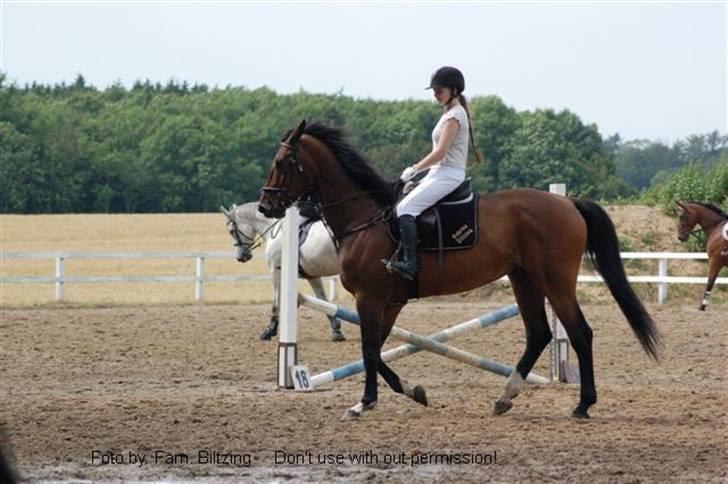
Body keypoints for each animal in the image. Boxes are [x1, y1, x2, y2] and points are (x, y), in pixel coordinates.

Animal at [222, 202, 344, 342]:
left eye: (231, 231)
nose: (241, 257)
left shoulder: (276, 271)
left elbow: (276, 302)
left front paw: (269, 331)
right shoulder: (313, 276)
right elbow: (323, 300)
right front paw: (336, 330)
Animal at [258, 121, 664, 420]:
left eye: (281, 162)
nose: (265, 206)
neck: (364, 220)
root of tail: (567, 202)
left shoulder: (369, 298)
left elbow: (371, 350)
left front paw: (366, 402)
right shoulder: (388, 302)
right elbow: (375, 350)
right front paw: (411, 392)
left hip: (554, 281)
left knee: (579, 332)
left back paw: (582, 405)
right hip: (524, 279)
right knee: (539, 334)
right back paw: (505, 397)